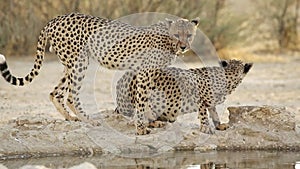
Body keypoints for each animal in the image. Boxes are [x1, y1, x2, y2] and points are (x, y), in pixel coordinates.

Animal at [0, 12, 202, 135]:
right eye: (177, 34)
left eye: (189, 35)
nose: (184, 46)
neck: (168, 40)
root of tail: (56, 18)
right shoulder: (144, 72)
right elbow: (142, 100)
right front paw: (141, 128)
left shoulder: (144, 72)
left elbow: (144, 99)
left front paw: (151, 121)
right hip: (79, 63)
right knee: (71, 95)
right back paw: (88, 120)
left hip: (70, 65)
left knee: (55, 93)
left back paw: (71, 118)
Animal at [115, 59, 253, 133]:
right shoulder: (199, 97)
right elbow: (204, 115)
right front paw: (205, 128)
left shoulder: (210, 102)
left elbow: (214, 113)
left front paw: (219, 125)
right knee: (139, 113)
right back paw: (146, 127)